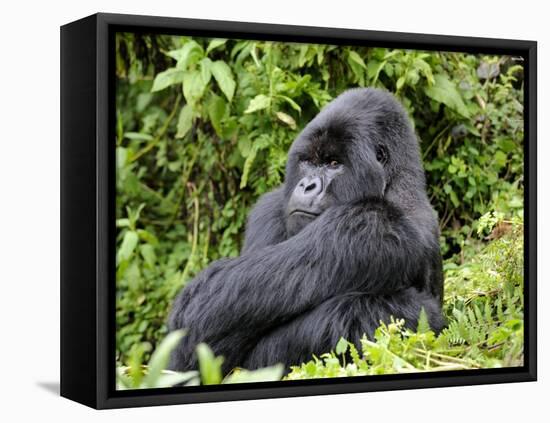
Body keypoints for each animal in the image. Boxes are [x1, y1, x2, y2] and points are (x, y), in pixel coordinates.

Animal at [169, 88, 448, 372]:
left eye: (334, 163)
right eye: (308, 162)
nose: (307, 185)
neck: (397, 186)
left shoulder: (369, 224)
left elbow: (206, 308)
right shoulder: (270, 207)